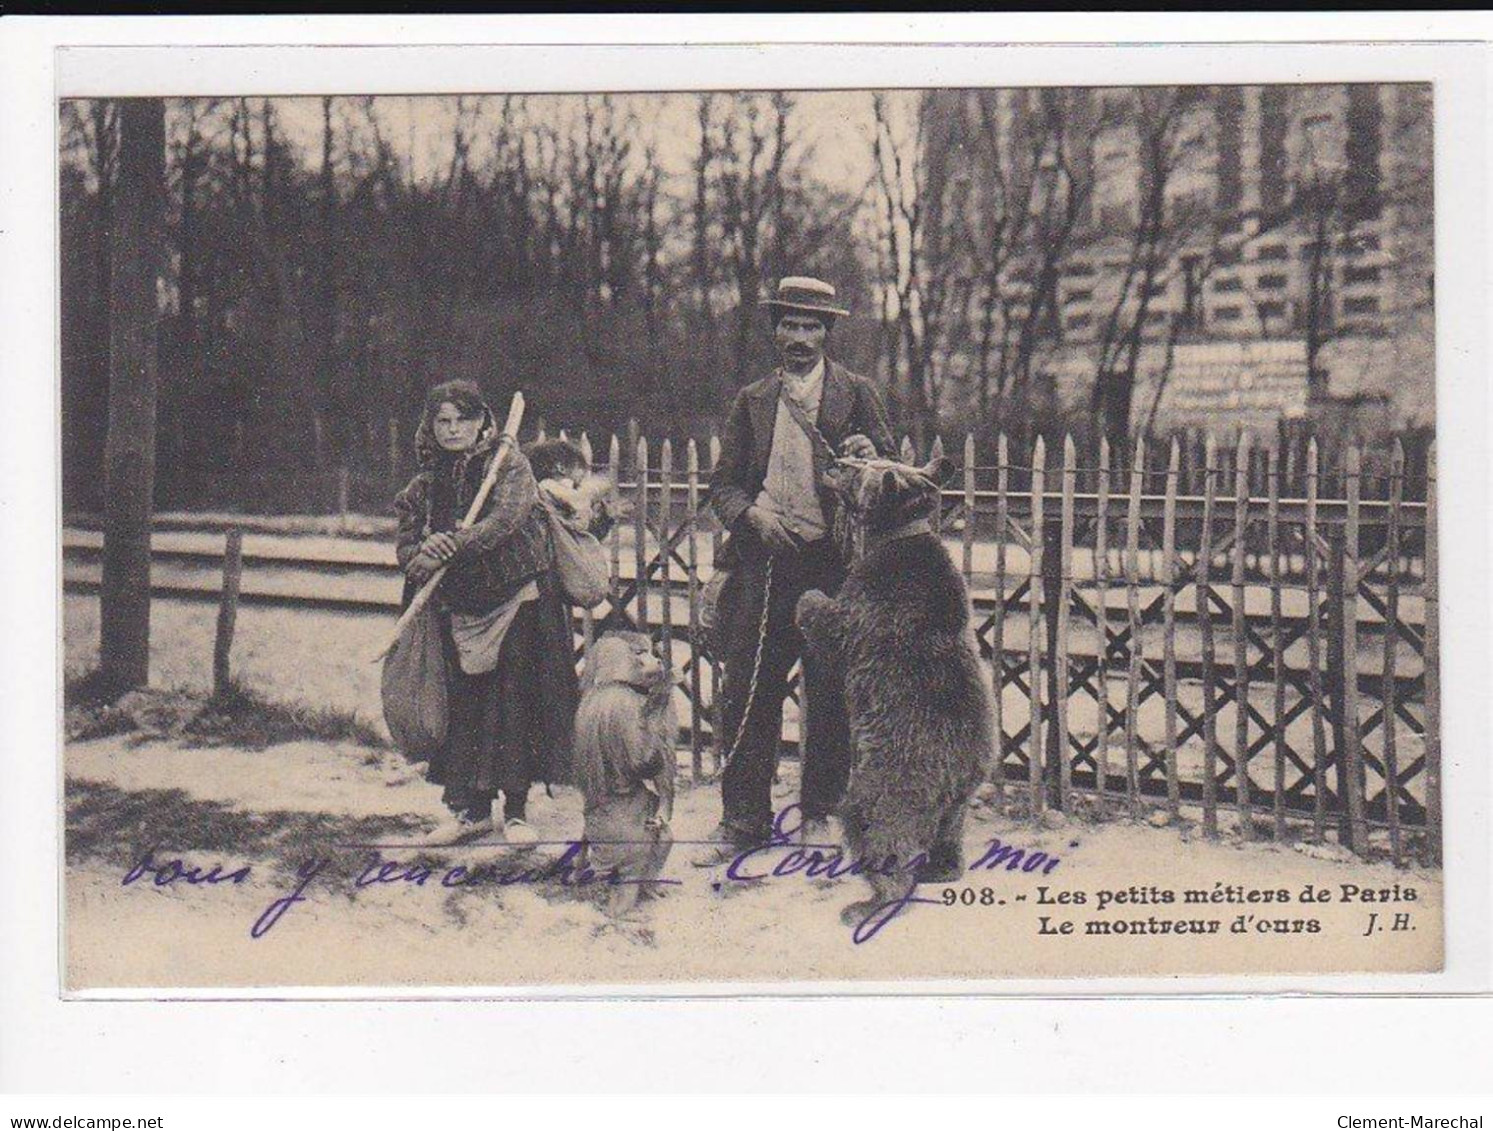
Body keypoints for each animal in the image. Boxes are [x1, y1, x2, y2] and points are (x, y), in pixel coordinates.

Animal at [570, 629, 677, 919]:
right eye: (642, 653)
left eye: (650, 651)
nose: (658, 660)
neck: (607, 682)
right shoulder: (628, 704)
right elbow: (644, 763)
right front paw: (660, 695)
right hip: (631, 845)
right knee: (662, 834)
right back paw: (646, 887)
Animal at [794, 459, 991, 931]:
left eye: (858, 468)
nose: (835, 461)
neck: (898, 534)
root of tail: (951, 776)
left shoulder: (866, 608)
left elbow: (830, 623)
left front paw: (807, 597)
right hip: (960, 793)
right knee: (949, 831)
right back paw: (942, 868)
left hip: (882, 789)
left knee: (880, 839)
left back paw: (869, 902)